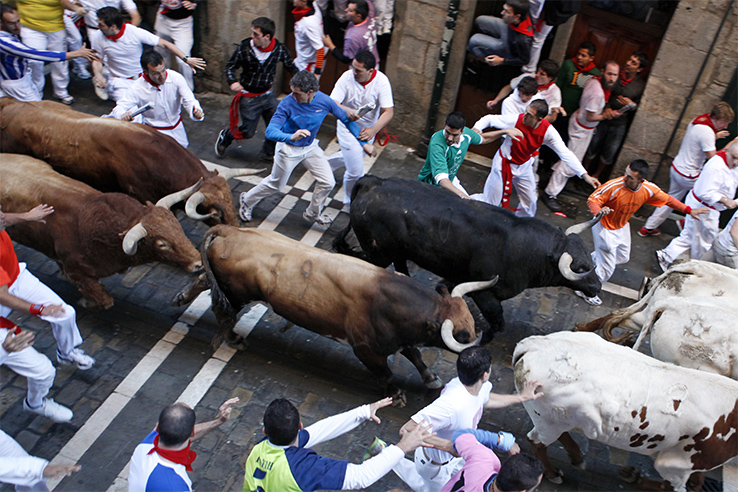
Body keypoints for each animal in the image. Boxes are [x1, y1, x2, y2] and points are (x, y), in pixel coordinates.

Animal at [0, 154, 201, 308]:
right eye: (162, 244)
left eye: (178, 228)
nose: (198, 263)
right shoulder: (78, 272)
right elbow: (105, 301)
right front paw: (86, 302)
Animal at [193, 225, 498, 402]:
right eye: (463, 335)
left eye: (472, 324)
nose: (484, 363)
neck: (387, 297)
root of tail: (228, 231)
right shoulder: (365, 349)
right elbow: (386, 373)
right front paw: (395, 394)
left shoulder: (401, 339)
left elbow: (416, 356)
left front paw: (430, 378)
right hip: (235, 295)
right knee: (221, 311)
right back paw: (234, 339)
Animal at [334, 175, 604, 340]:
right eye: (581, 268)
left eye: (590, 259)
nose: (598, 285)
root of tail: (373, 182)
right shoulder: (485, 294)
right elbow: (498, 322)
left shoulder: (457, 278)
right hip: (378, 252)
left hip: (397, 253)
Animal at [512, 330, 736, 492]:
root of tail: (537, 343)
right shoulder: (675, 464)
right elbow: (671, 487)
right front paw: (634, 477)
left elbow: (697, 481)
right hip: (548, 421)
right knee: (536, 442)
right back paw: (552, 472)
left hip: (560, 418)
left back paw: (577, 458)